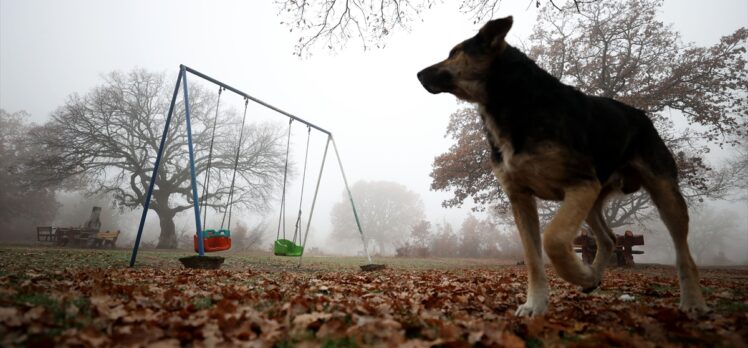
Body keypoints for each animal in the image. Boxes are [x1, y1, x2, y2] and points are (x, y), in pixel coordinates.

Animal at [420, 15, 708, 316]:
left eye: (454, 53)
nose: (418, 74)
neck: (514, 99)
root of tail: (643, 117)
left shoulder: (577, 185)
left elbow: (554, 240)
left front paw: (577, 274)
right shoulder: (522, 197)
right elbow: (533, 257)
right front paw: (536, 303)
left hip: (662, 195)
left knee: (683, 254)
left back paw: (693, 303)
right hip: (592, 199)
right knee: (609, 238)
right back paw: (593, 277)